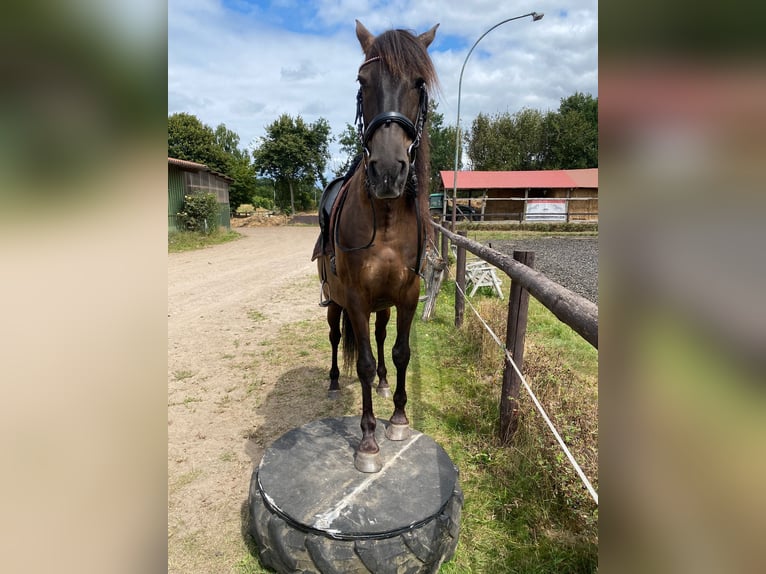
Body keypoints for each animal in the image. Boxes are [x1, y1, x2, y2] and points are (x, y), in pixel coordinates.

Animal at [315, 20, 439, 473]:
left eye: (418, 83)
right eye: (362, 82)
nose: (387, 171)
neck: (385, 223)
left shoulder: (406, 295)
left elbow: (400, 352)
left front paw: (398, 418)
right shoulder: (354, 297)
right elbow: (365, 363)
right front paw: (368, 442)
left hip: (383, 305)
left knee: (383, 337)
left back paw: (386, 385)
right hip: (334, 303)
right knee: (336, 337)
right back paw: (335, 382)